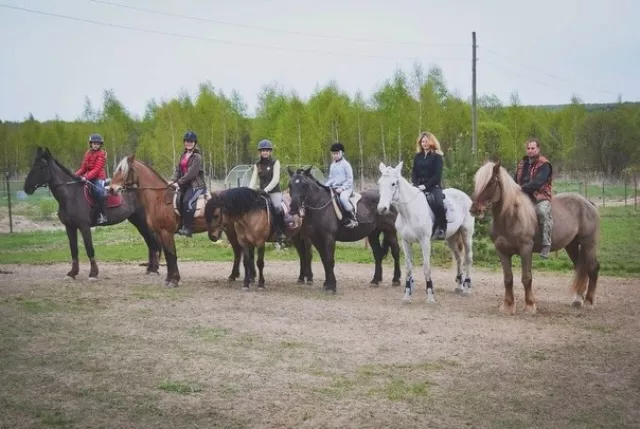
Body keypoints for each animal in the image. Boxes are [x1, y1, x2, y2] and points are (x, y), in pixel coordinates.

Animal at [22, 147, 162, 280]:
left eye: (41, 167)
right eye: (33, 166)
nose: (26, 188)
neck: (71, 195)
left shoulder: (84, 227)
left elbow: (89, 249)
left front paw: (93, 273)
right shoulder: (70, 227)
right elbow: (74, 250)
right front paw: (72, 273)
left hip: (143, 221)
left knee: (152, 242)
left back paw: (154, 269)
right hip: (136, 220)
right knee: (150, 242)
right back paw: (150, 269)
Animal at [107, 154, 210, 288]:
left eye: (122, 170)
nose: (111, 189)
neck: (159, 199)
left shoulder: (167, 232)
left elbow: (171, 255)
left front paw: (174, 280)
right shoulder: (161, 233)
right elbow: (168, 255)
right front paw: (169, 279)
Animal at [376, 162, 475, 303]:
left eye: (393, 183)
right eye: (379, 183)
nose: (382, 209)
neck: (410, 212)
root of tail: (465, 195)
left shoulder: (425, 241)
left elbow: (426, 268)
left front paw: (430, 296)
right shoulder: (405, 242)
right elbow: (408, 268)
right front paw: (407, 296)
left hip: (467, 234)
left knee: (468, 258)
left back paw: (467, 288)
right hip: (450, 238)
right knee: (458, 258)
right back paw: (459, 286)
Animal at [470, 160, 601, 314]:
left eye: (491, 182)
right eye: (477, 182)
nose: (475, 209)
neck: (510, 217)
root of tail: (588, 203)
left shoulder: (526, 250)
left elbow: (527, 278)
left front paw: (530, 305)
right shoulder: (502, 251)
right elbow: (508, 279)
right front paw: (508, 305)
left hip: (588, 243)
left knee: (592, 268)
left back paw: (589, 302)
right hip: (572, 245)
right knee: (581, 267)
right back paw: (577, 300)